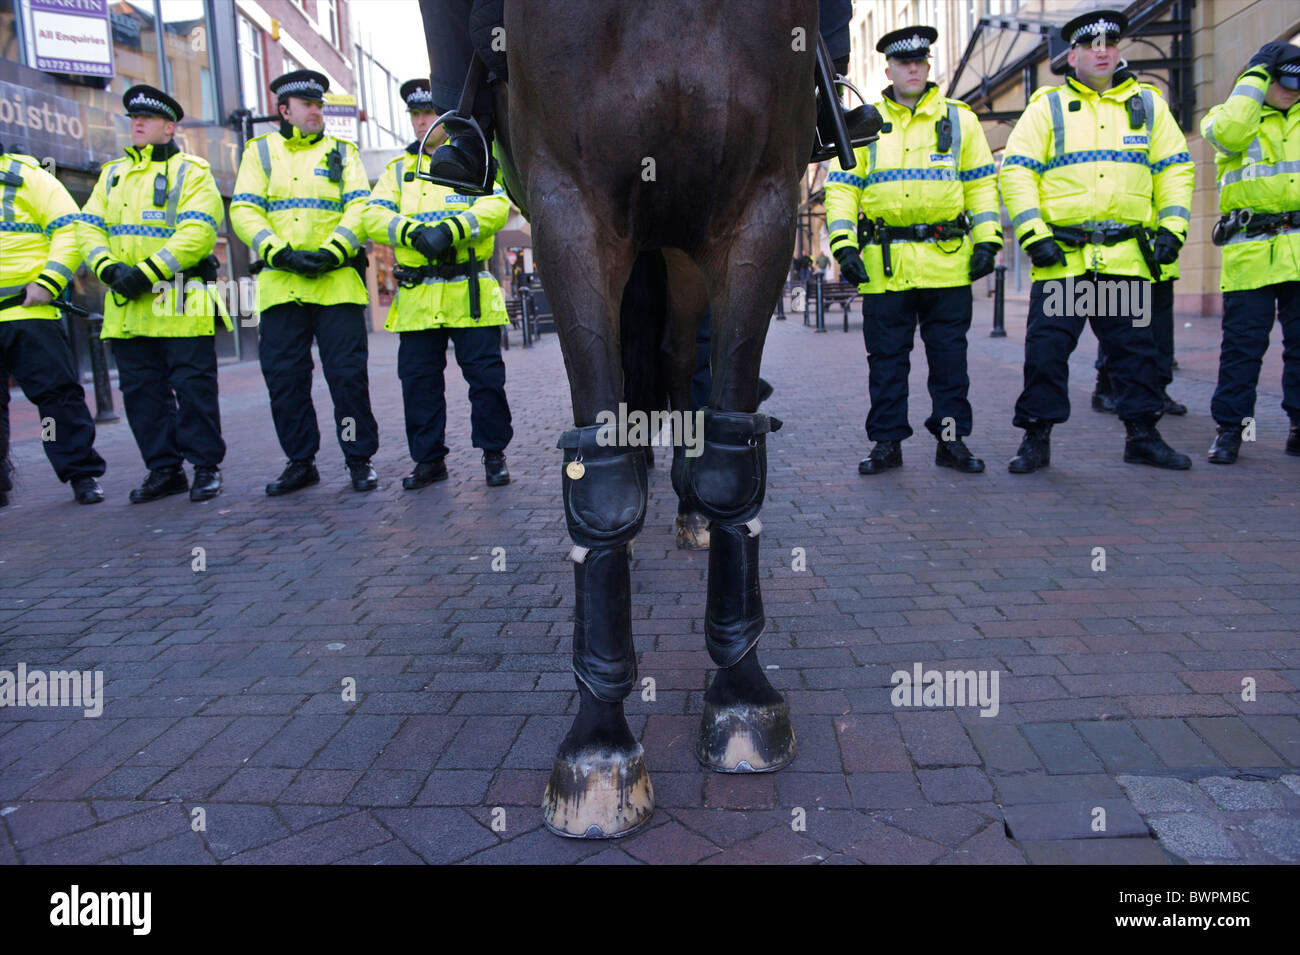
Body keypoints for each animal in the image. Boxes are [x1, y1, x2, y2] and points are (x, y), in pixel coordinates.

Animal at [420, 0, 818, 838]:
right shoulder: (570, 206)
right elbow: (599, 484)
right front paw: (598, 745)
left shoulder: (759, 202)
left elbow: (732, 460)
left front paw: (743, 696)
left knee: (677, 368)